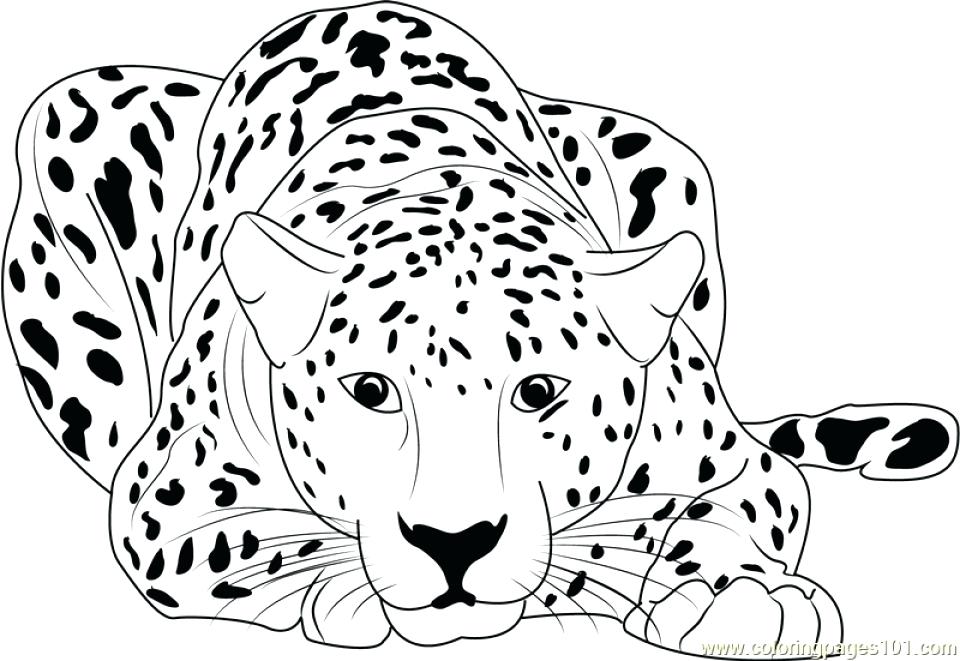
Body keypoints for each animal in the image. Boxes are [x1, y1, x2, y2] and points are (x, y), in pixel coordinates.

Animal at [3, 2, 957, 653]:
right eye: (371, 390)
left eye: (538, 391)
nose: (452, 545)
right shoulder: (165, 503)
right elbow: (260, 545)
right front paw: (357, 592)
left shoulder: (735, 461)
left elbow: (722, 512)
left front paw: (738, 597)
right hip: (73, 121)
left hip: (664, 156)